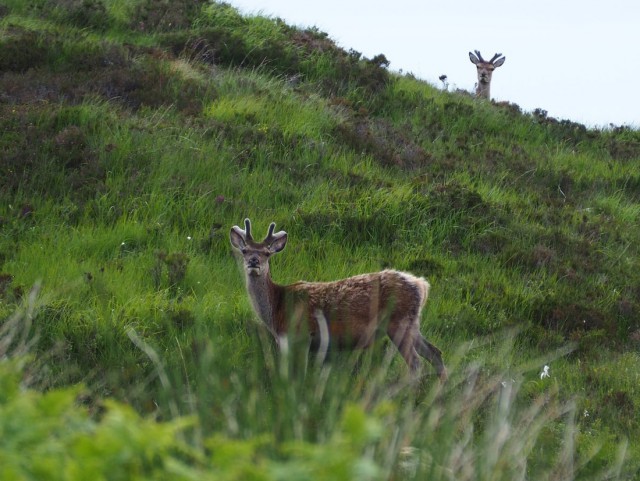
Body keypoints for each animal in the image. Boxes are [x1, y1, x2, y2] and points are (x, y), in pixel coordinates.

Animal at [232, 219, 448, 380]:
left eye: (267, 253)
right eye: (245, 251)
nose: (253, 261)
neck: (276, 307)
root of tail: (421, 285)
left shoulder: (301, 335)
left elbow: (300, 374)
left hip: (398, 322)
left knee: (416, 363)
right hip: (413, 324)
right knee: (436, 353)